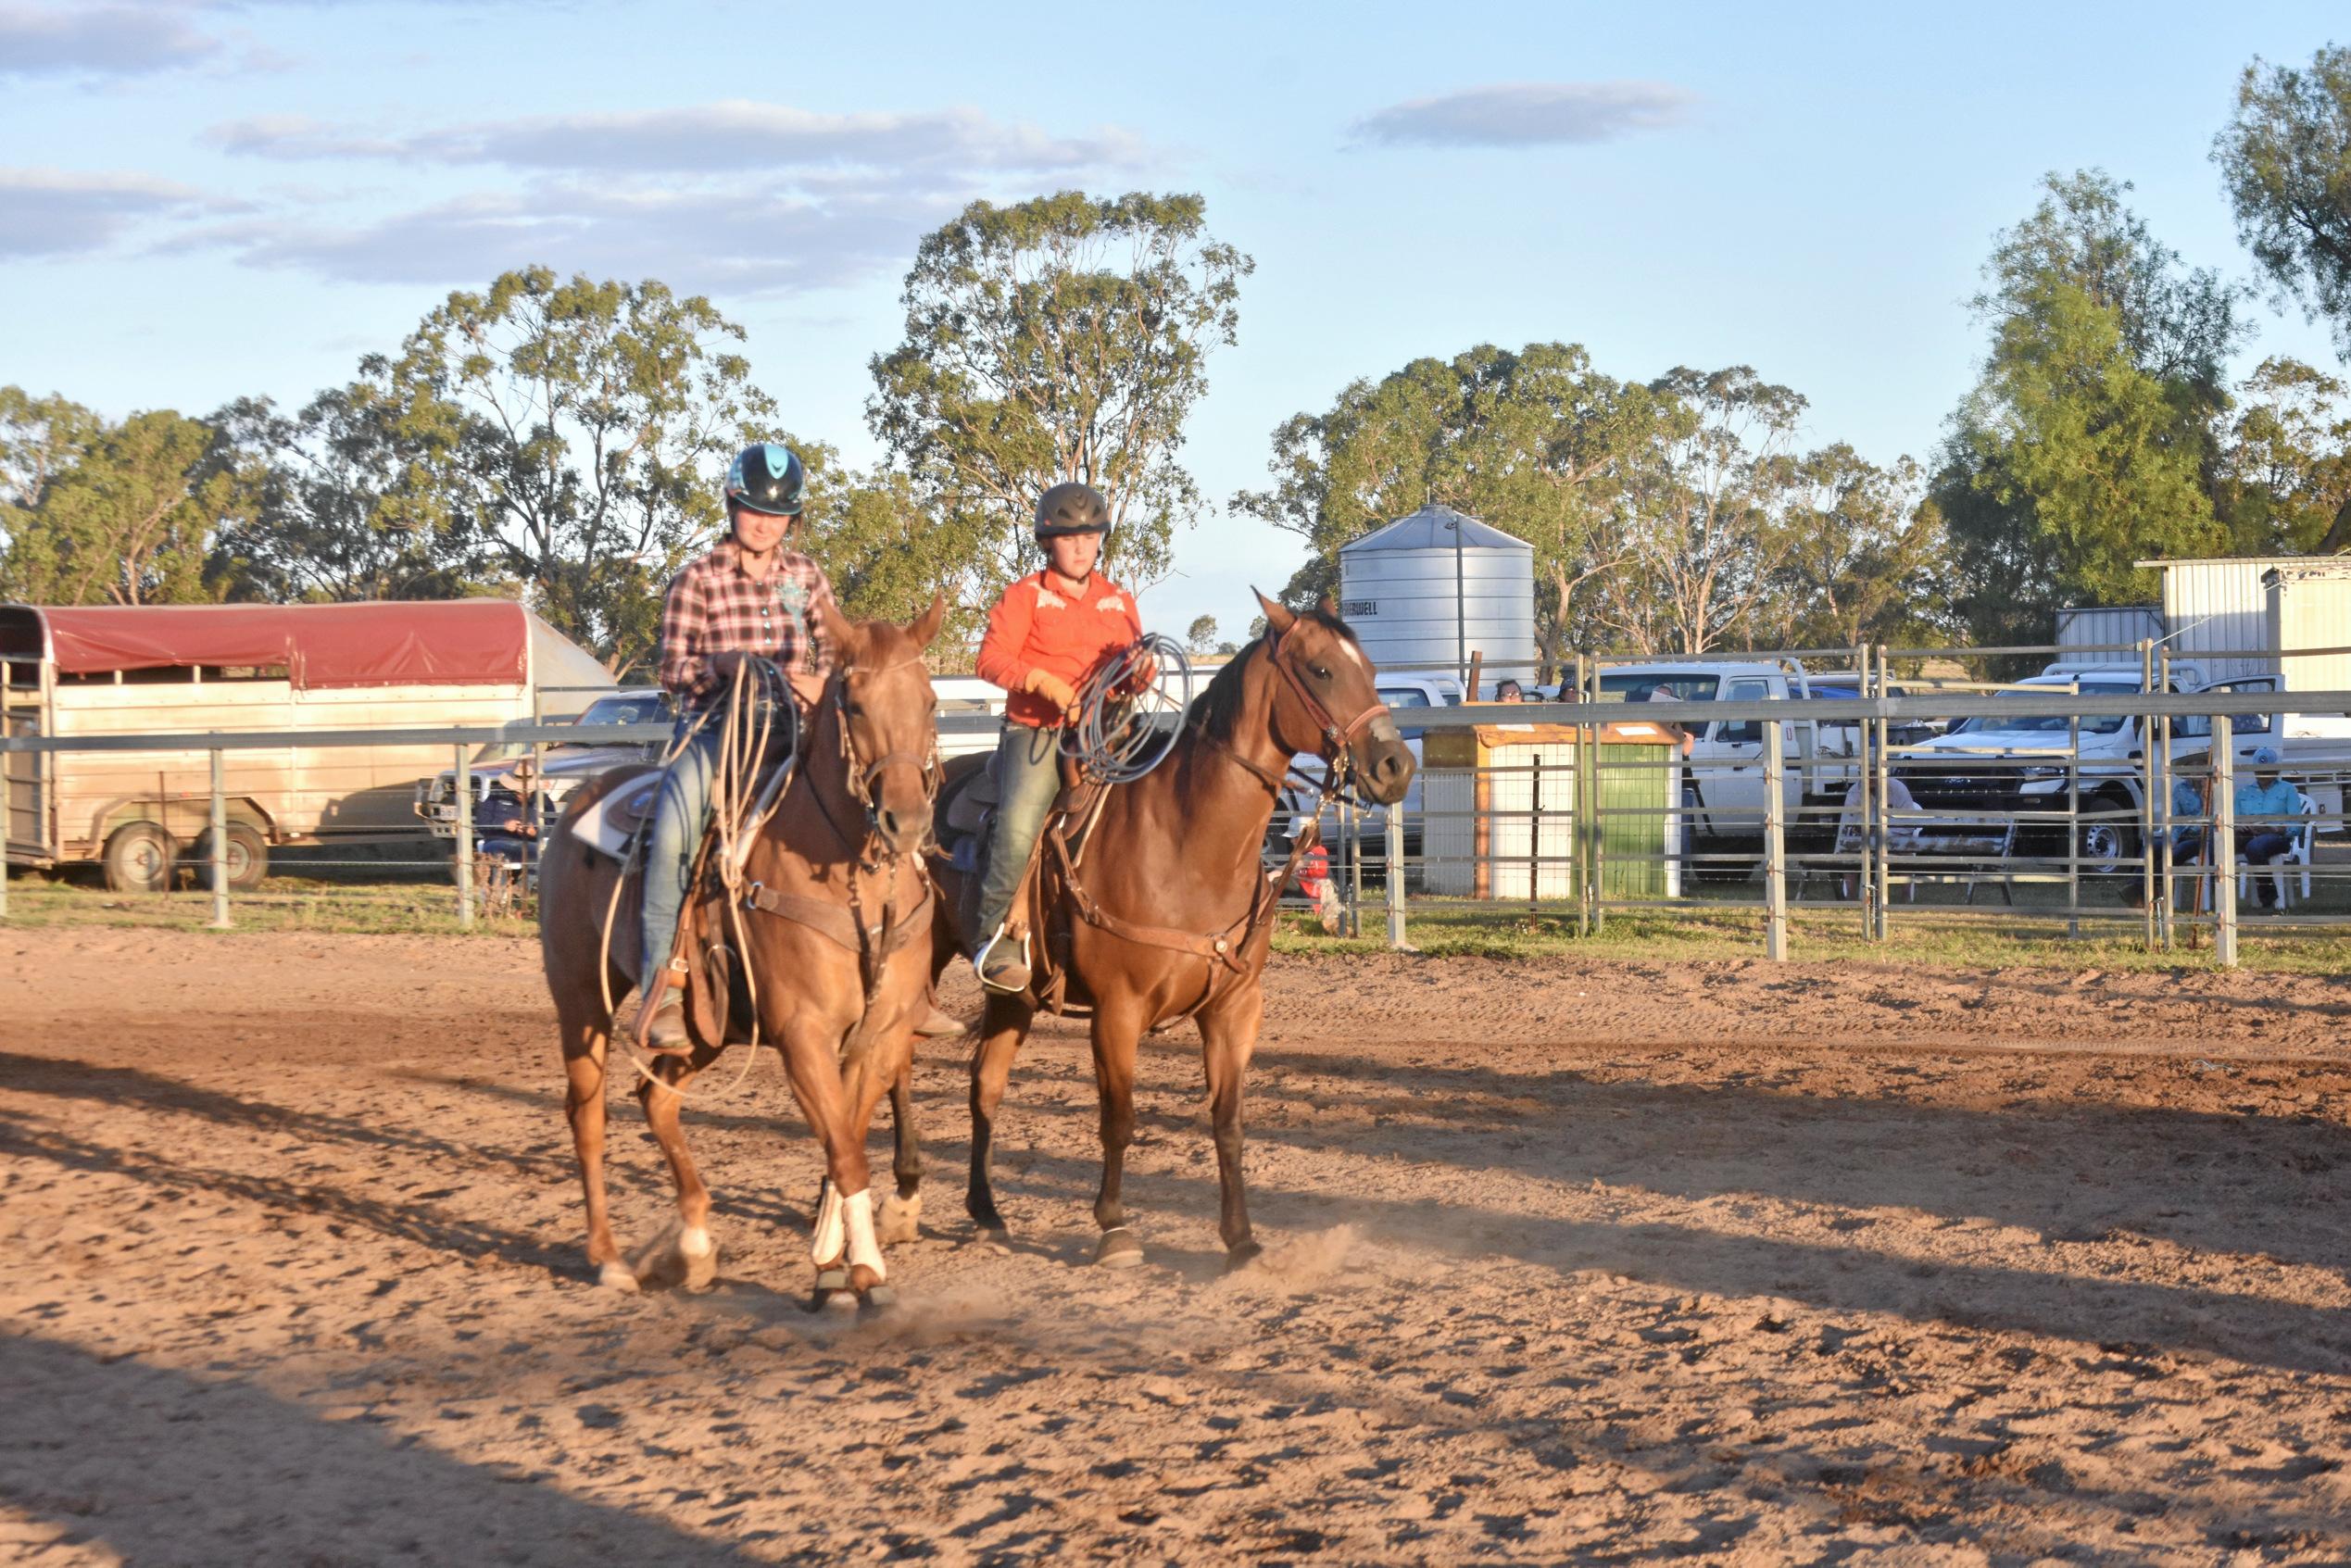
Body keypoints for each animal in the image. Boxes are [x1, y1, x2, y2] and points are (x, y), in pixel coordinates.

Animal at [540, 595, 945, 1307]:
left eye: (928, 700)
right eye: (854, 703)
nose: (908, 822)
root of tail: (579, 800)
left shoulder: (880, 1034)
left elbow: (845, 1141)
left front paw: (829, 1258)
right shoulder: (803, 1033)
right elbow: (845, 1152)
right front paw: (864, 1269)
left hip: (707, 1021)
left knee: (656, 1099)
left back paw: (696, 1244)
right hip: (581, 995)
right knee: (587, 1115)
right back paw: (610, 1259)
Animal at [921, 595, 1401, 1269]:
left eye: (1373, 668)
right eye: (1322, 670)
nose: (1397, 765)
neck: (1186, 842)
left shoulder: (1234, 1008)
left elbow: (1228, 1121)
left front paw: (1240, 1237)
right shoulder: (1116, 1011)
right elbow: (1119, 1118)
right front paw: (1115, 1228)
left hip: (1011, 995)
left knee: (984, 1085)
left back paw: (987, 1213)